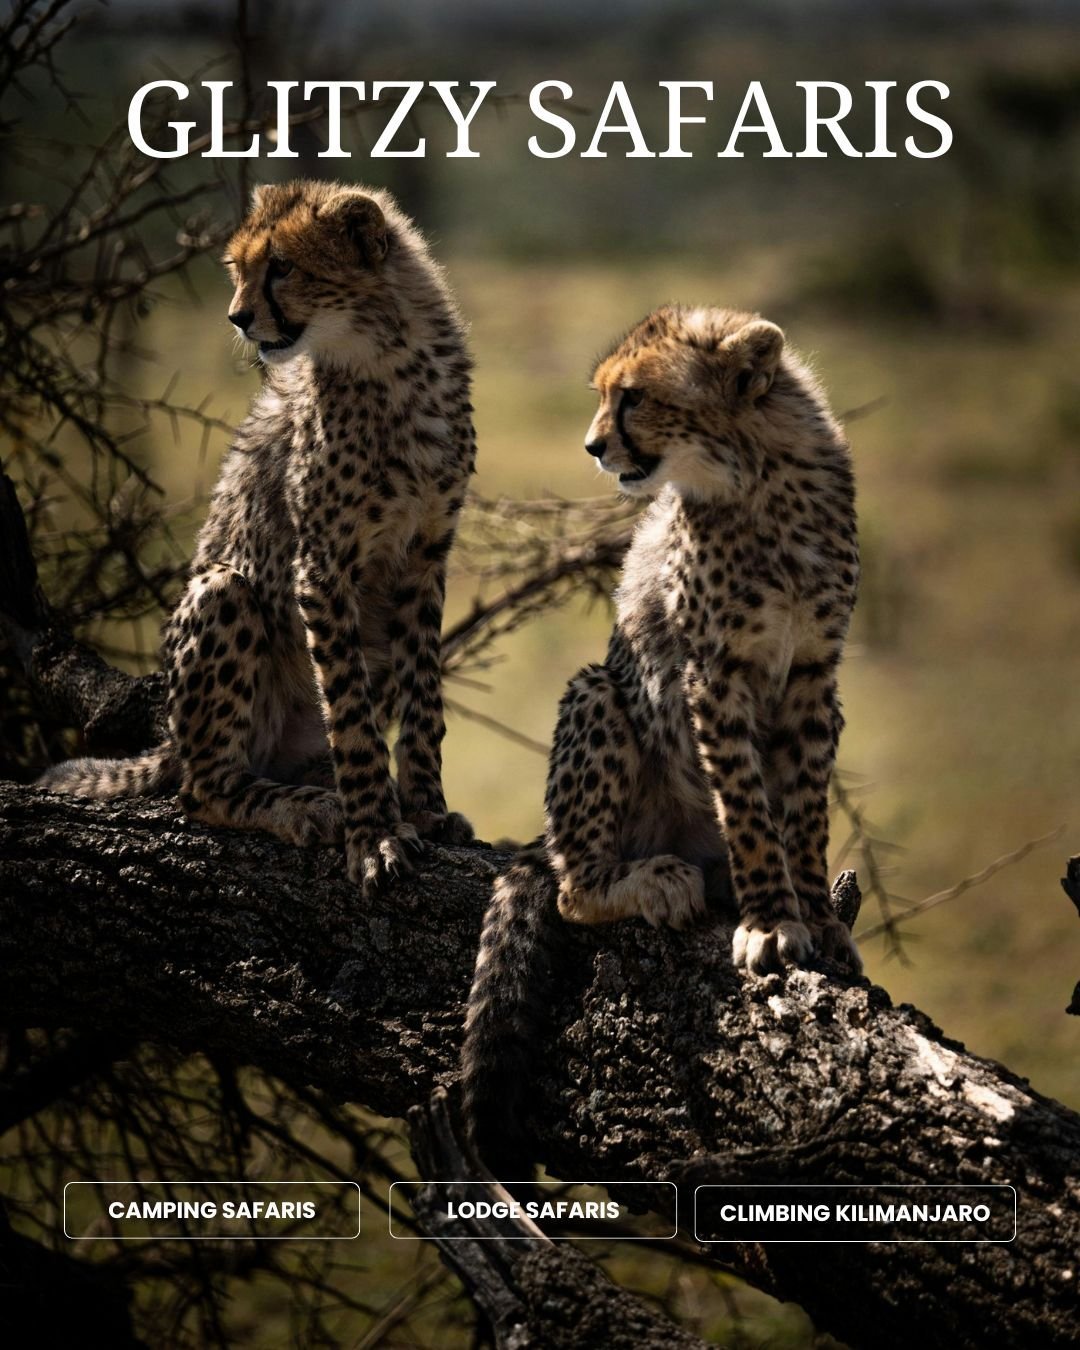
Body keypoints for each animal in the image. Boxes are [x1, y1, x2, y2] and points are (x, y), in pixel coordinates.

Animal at [38, 179, 475, 894]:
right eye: (236, 268)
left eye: (283, 267)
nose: (239, 318)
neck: (388, 358)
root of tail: (173, 740)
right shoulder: (323, 565)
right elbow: (351, 715)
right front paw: (373, 834)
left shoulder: (424, 558)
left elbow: (423, 699)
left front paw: (426, 809)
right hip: (224, 595)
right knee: (201, 788)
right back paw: (308, 806)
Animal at [461, 303, 861, 1175]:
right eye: (605, 396)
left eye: (635, 397)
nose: (592, 446)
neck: (759, 476)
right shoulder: (713, 673)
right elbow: (751, 811)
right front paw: (772, 920)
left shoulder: (817, 673)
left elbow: (804, 817)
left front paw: (818, 918)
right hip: (599, 694)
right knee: (572, 888)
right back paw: (655, 880)